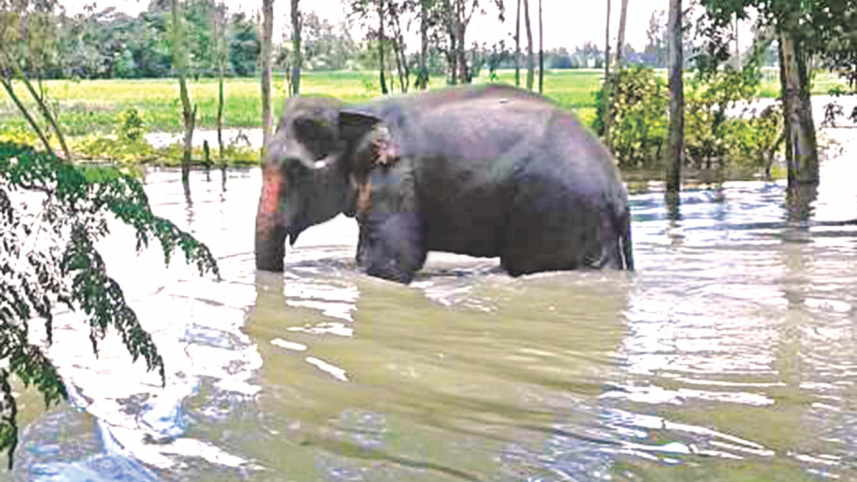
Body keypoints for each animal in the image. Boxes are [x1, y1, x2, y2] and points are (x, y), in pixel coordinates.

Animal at [255, 84, 634, 283]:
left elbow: (393, 262)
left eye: (296, 170)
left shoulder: (397, 180)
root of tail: (618, 190)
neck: (356, 109)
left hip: (555, 211)